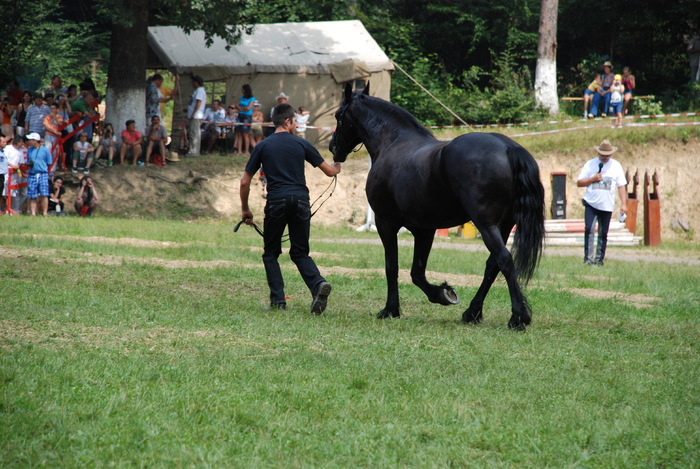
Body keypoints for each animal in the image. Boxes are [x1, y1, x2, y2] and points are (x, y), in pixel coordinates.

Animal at [330, 83, 548, 330]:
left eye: (338, 115)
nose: (332, 147)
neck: (393, 142)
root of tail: (508, 147)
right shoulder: (425, 230)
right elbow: (416, 272)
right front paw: (443, 294)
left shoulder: (385, 223)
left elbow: (392, 267)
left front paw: (391, 309)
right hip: (503, 225)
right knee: (492, 265)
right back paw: (472, 312)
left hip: (486, 224)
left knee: (504, 260)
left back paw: (517, 317)